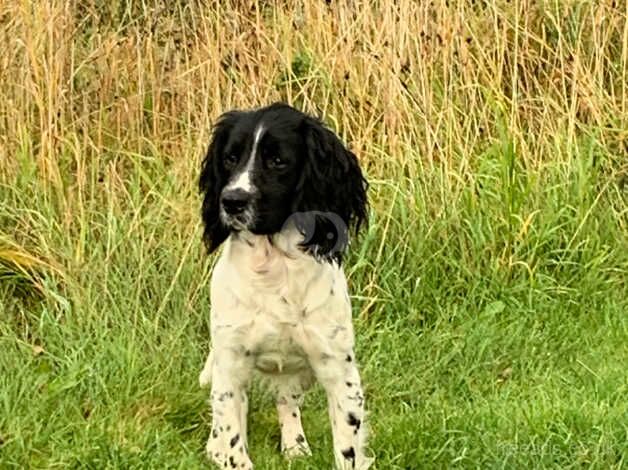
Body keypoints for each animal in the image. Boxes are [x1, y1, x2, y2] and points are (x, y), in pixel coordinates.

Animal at [199, 103, 370, 470]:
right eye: (230, 158)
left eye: (278, 161)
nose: (231, 201)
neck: (274, 268)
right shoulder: (231, 365)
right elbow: (234, 441)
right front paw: (224, 451)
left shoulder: (339, 370)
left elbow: (347, 449)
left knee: (286, 400)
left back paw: (295, 446)